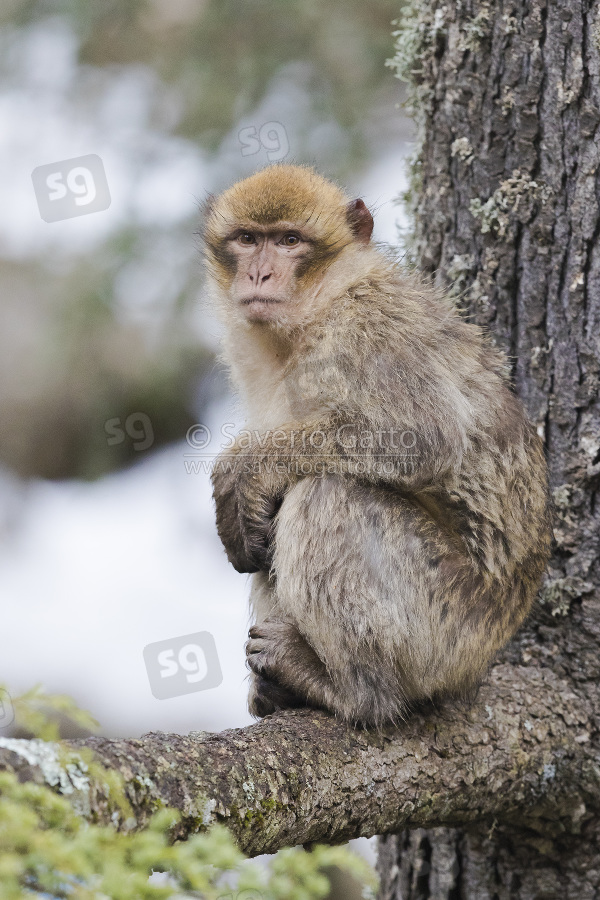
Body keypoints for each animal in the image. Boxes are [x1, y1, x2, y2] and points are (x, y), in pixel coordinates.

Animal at [203, 162, 552, 728]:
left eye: (290, 241)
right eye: (248, 239)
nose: (258, 275)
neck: (320, 304)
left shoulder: (367, 327)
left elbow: (424, 436)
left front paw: (242, 470)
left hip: (446, 624)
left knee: (328, 492)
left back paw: (354, 690)